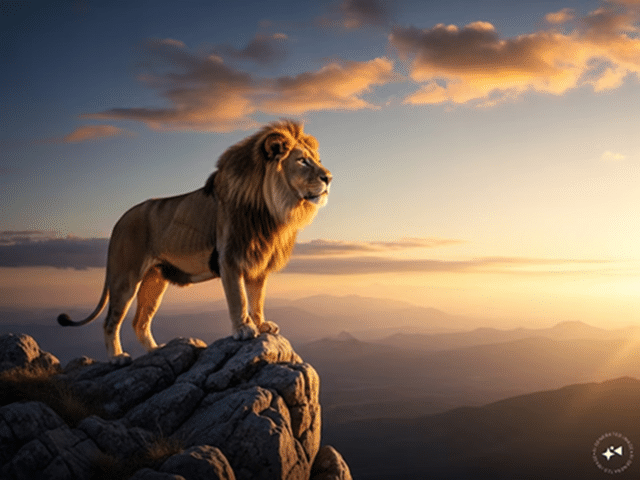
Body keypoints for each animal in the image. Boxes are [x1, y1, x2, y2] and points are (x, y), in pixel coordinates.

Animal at [57, 120, 331, 362]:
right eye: (302, 160)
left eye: (317, 160)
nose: (329, 177)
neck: (271, 209)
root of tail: (119, 221)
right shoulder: (230, 257)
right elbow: (239, 298)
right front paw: (244, 329)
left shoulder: (258, 261)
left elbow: (257, 298)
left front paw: (262, 324)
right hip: (125, 276)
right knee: (110, 321)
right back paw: (117, 358)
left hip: (155, 279)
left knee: (140, 321)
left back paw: (157, 351)